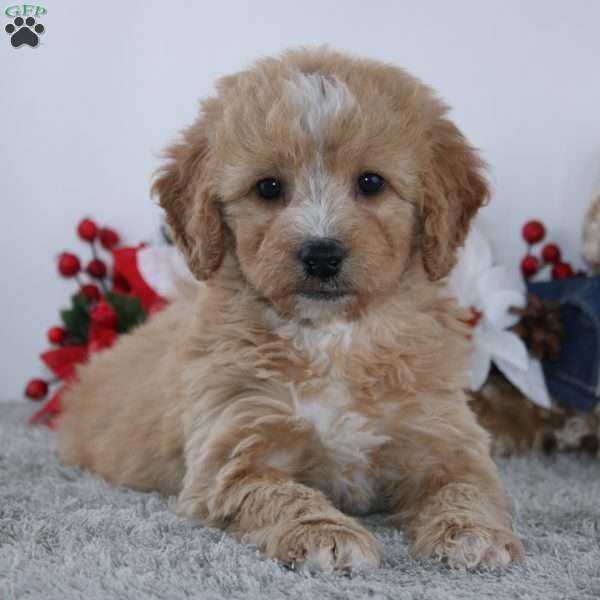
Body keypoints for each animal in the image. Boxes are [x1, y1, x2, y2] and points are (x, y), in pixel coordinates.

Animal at [57, 47, 524, 572]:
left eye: (371, 182)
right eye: (267, 187)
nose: (321, 255)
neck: (333, 337)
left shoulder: (442, 434)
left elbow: (464, 486)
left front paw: (472, 534)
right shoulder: (235, 449)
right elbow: (280, 494)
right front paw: (326, 533)